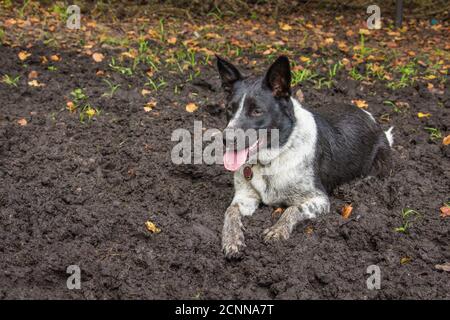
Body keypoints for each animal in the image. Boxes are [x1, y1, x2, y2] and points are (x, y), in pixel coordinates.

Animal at [216, 55, 392, 260]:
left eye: (257, 111)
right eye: (229, 109)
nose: (225, 139)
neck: (273, 156)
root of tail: (372, 118)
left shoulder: (319, 199)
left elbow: (293, 209)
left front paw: (277, 230)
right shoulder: (245, 197)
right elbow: (230, 211)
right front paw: (232, 240)